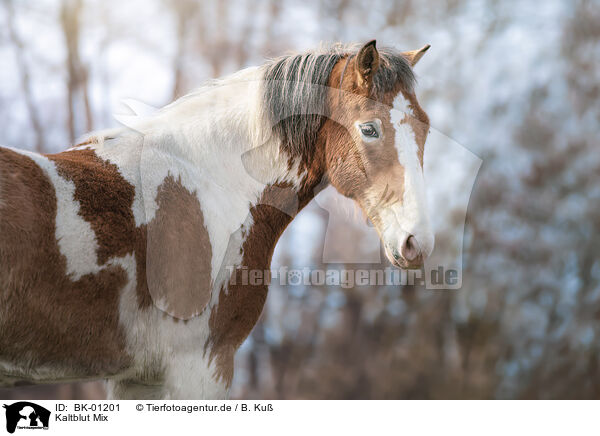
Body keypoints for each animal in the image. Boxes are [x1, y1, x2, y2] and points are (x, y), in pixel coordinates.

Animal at [0, 41, 432, 398]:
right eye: (370, 128)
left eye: (425, 127)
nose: (418, 242)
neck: (208, 181)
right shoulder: (200, 368)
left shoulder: (139, 380)